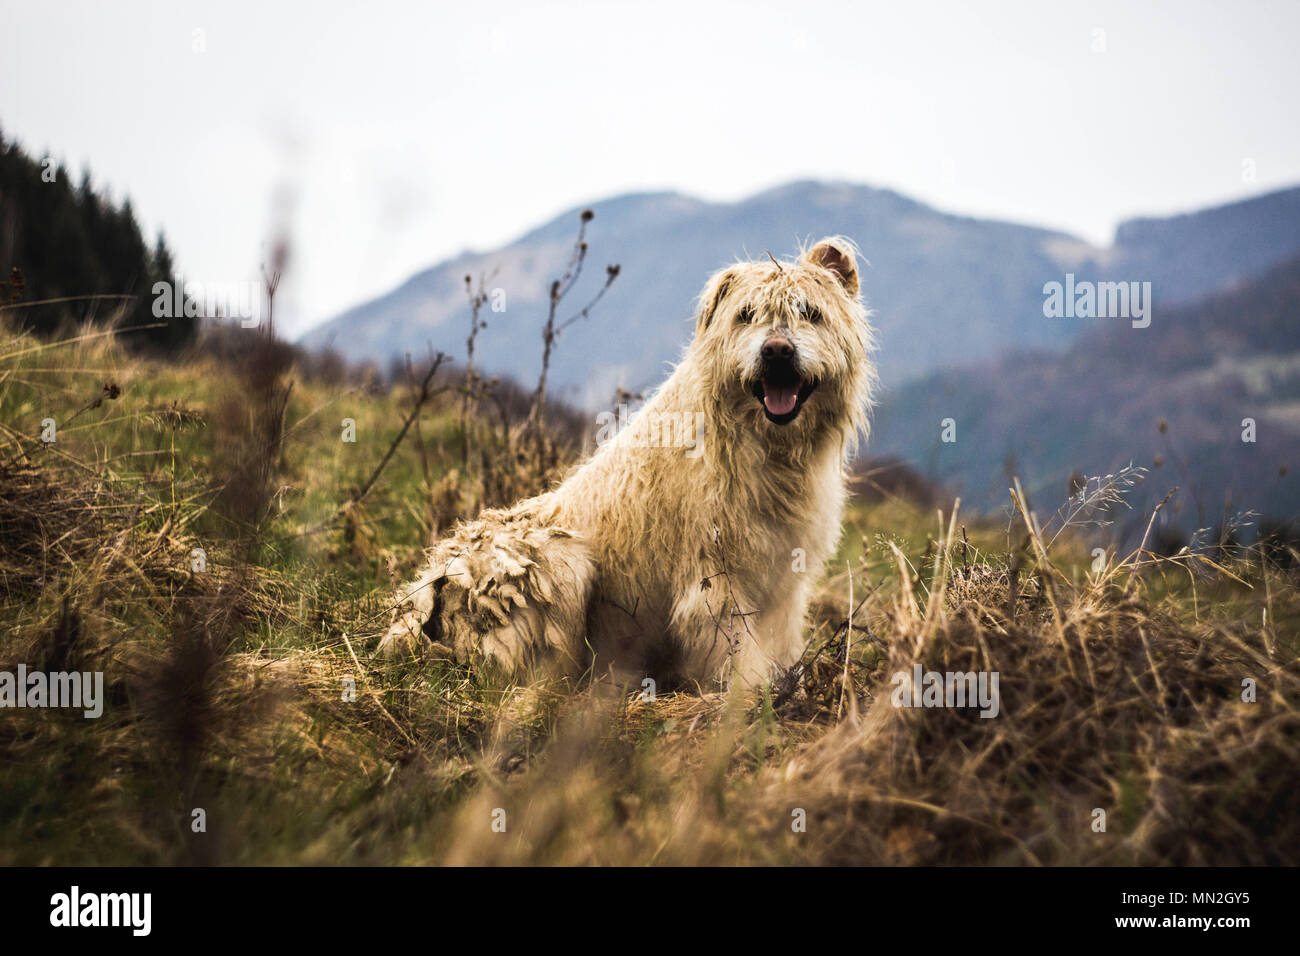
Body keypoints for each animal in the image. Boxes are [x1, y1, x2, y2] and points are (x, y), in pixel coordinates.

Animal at [379, 236, 878, 691]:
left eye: (809, 312)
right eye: (746, 315)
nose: (776, 350)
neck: (761, 445)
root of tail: (428, 593)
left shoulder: (784, 582)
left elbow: (778, 640)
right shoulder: (714, 580)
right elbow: (737, 652)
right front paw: (750, 700)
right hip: (559, 563)